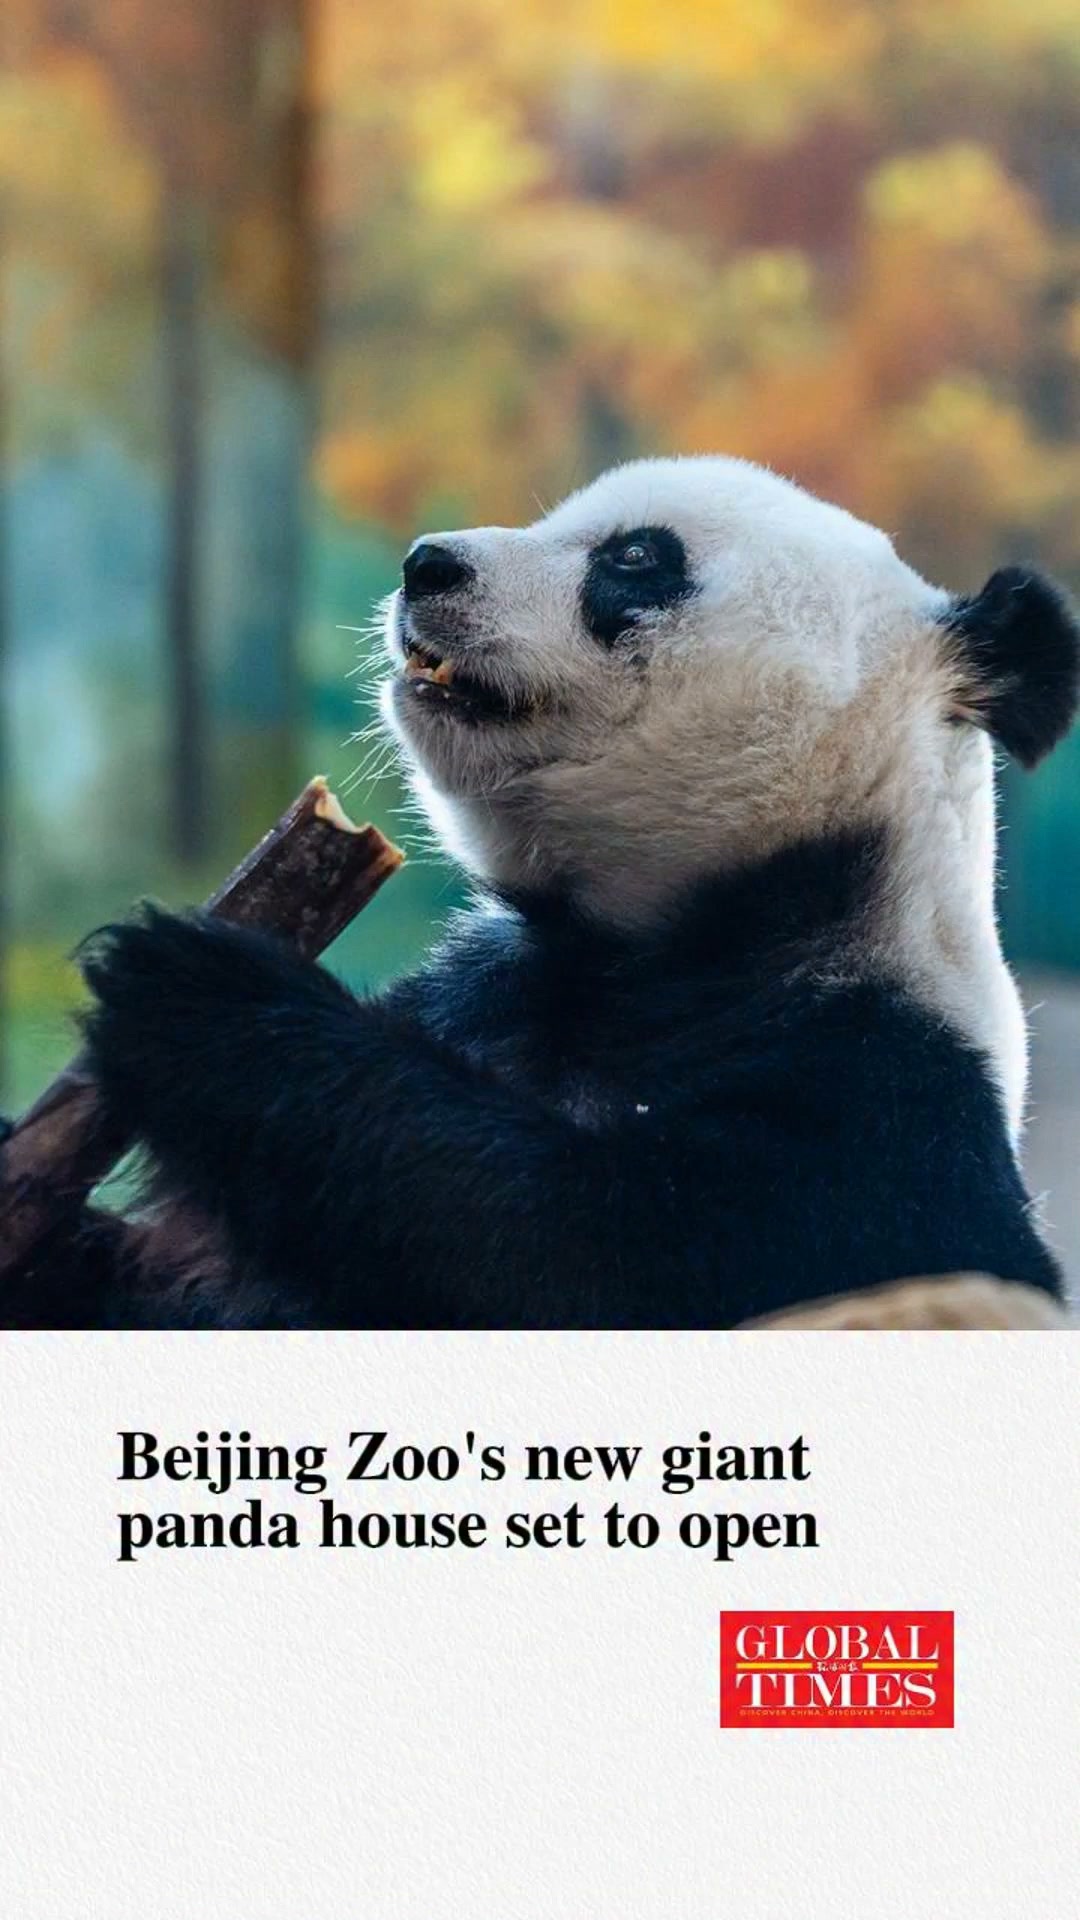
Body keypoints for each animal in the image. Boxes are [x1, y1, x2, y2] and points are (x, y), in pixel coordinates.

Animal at [17, 456, 1080, 1327]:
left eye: (637, 557)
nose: (426, 565)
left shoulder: (876, 1121)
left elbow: (570, 1249)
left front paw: (190, 991)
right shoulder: (491, 988)